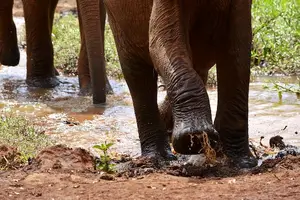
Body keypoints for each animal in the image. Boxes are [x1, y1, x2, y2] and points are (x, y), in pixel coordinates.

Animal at [104, 0, 256, 169]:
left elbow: (239, 50)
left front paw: (243, 162)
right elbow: (162, 40)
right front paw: (194, 137)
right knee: (135, 72)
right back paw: (157, 158)